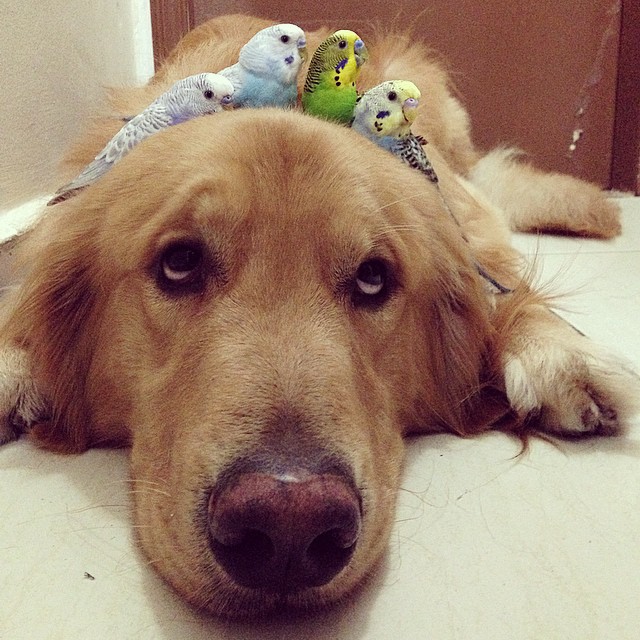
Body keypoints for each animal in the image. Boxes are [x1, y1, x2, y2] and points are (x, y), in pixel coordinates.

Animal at [0, 12, 636, 616]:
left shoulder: (463, 221)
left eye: (373, 278)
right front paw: (13, 363)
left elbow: (505, 288)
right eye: (179, 264)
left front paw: (559, 352)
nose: (288, 525)